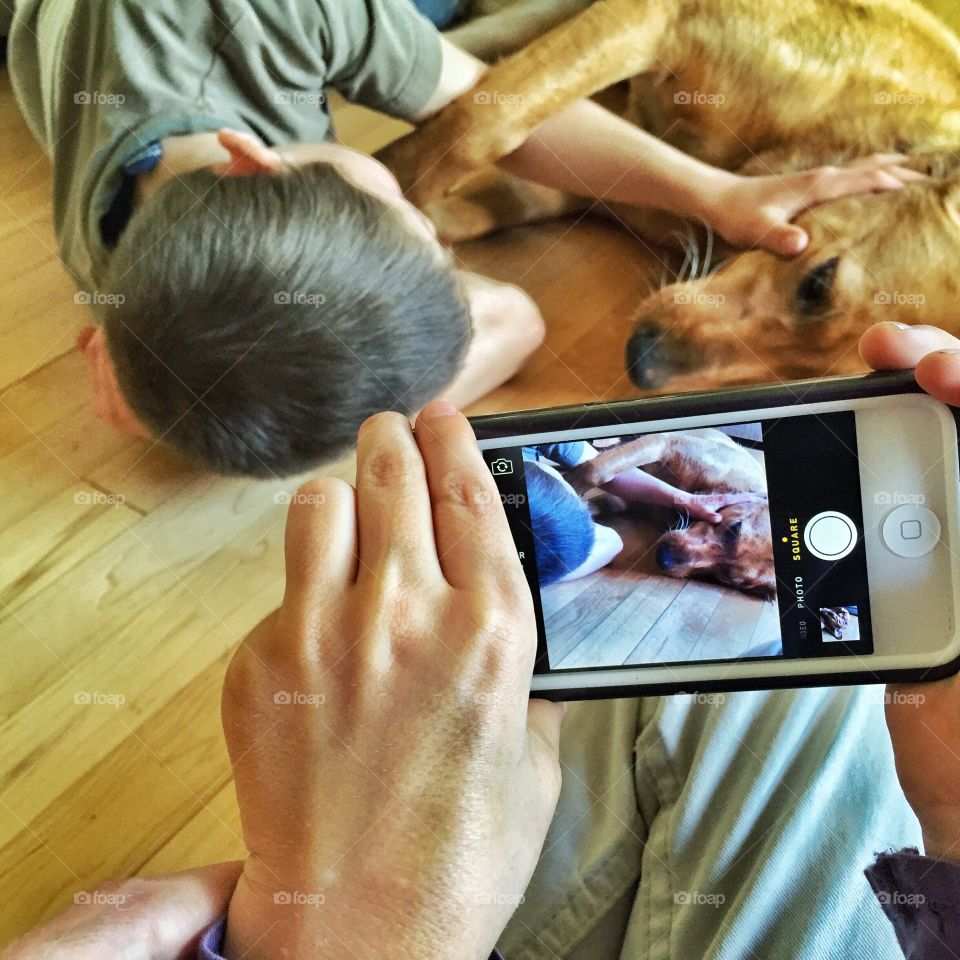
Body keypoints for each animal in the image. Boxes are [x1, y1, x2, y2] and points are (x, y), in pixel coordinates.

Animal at [380, 0, 960, 392]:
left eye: (801, 376)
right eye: (817, 285)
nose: (640, 363)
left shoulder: (597, 185)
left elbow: (467, 197)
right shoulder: (655, 19)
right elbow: (484, 122)